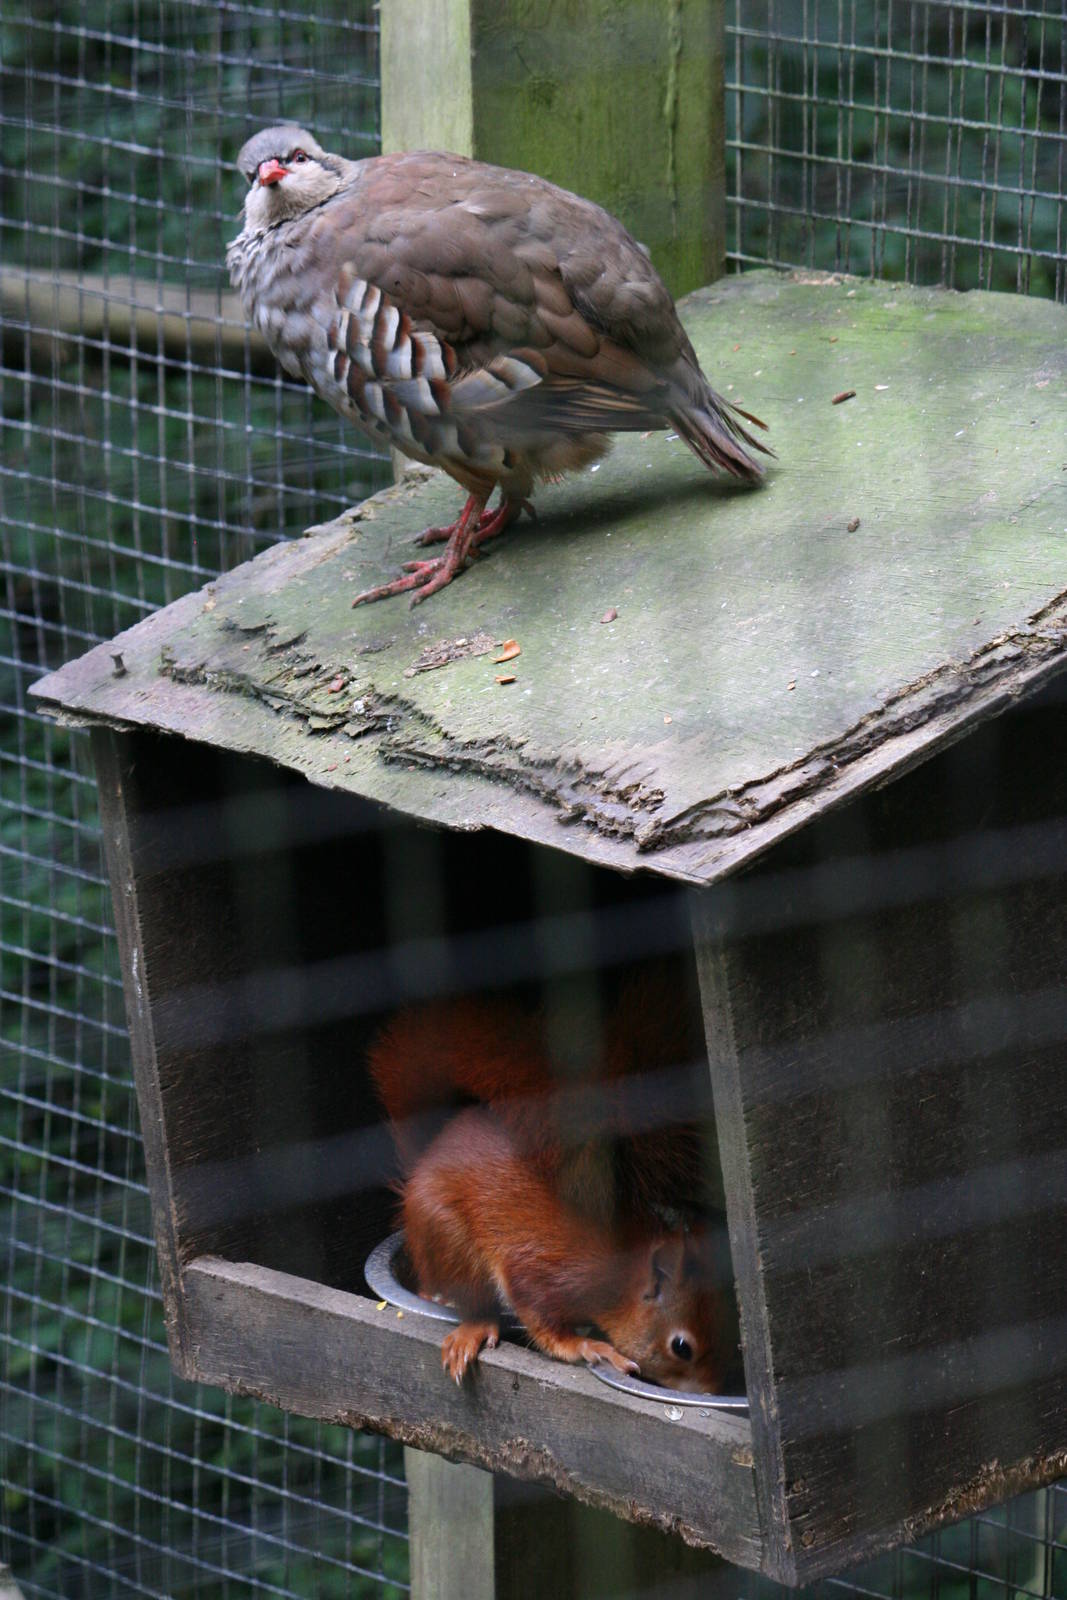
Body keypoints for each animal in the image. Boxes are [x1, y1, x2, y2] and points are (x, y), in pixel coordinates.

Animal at [368, 973, 733, 1391]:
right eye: (681, 1347)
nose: (713, 1391)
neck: (619, 1272)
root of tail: (422, 1163)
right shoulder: (540, 1272)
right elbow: (543, 1323)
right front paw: (588, 1347)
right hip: (448, 1238)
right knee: (470, 1296)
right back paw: (474, 1325)